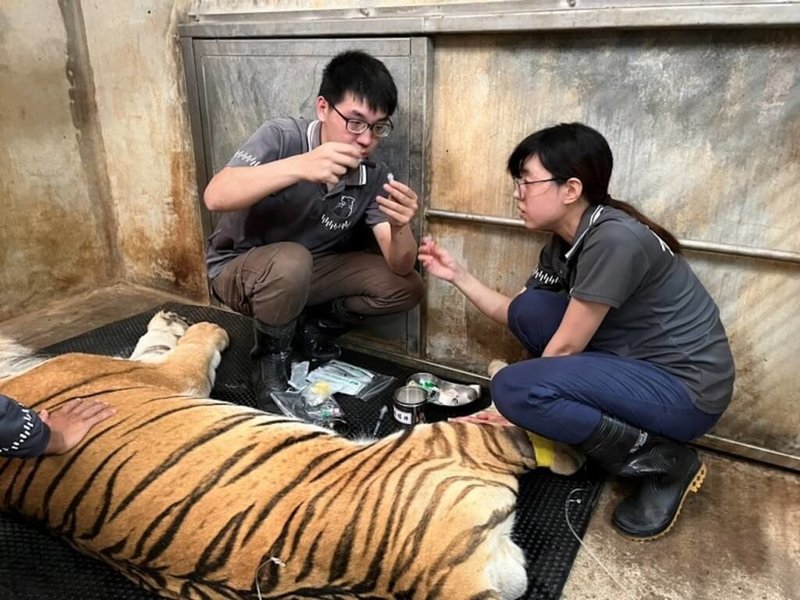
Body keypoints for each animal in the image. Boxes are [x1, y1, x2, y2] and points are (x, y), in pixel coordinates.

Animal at [0, 312, 580, 600]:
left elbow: (156, 342)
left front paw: (169, 319)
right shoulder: (167, 375)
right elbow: (182, 349)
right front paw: (203, 327)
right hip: (453, 441)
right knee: (519, 428)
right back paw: (503, 369)